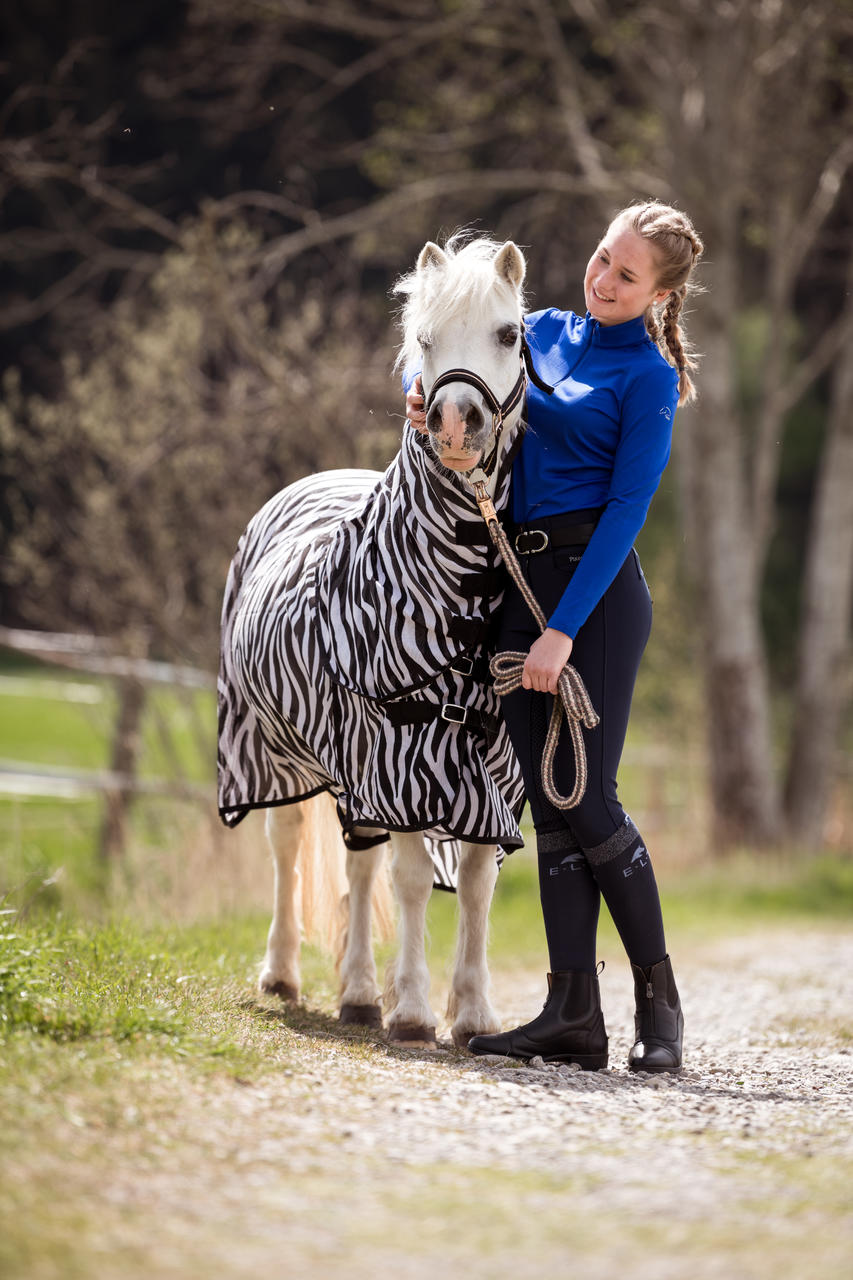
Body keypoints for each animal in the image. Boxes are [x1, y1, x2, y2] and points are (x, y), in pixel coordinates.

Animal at [219, 235, 535, 1044]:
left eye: (508, 333)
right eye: (422, 339)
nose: (455, 424)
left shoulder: (491, 771)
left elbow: (476, 884)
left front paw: (474, 1012)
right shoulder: (398, 760)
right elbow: (411, 879)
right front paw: (418, 1011)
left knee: (358, 867)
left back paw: (363, 992)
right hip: (279, 753)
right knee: (292, 847)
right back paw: (292, 977)